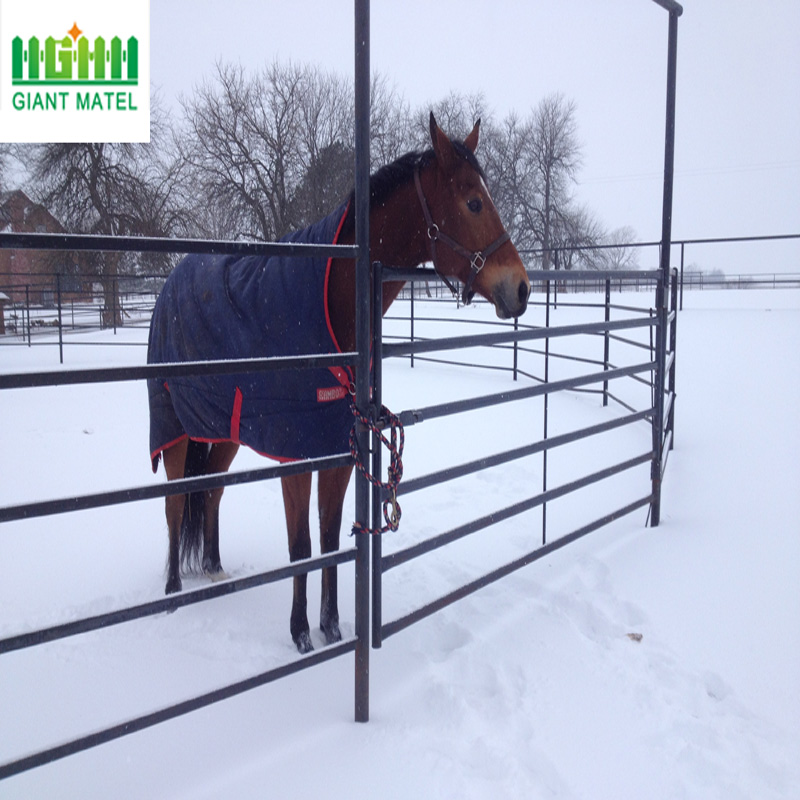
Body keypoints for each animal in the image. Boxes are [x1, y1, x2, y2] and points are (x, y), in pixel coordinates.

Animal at [148, 112, 532, 652]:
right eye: (474, 202)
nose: (521, 288)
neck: (331, 302)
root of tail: (168, 286)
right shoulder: (295, 453)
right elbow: (302, 544)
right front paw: (301, 634)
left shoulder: (336, 446)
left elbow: (331, 536)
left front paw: (330, 628)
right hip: (175, 431)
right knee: (176, 501)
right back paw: (173, 591)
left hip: (223, 430)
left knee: (213, 492)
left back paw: (214, 569)